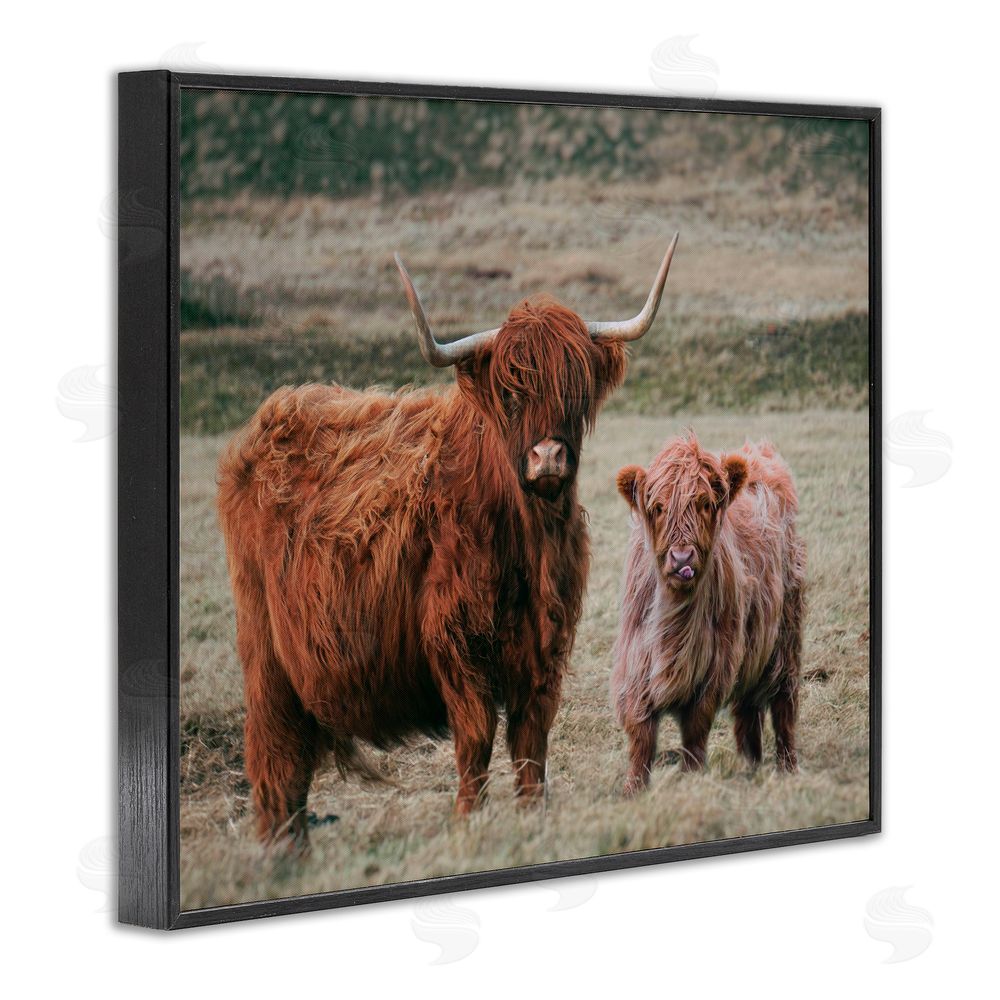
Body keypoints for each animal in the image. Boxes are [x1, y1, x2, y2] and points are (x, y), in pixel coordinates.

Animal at [217, 234, 680, 850]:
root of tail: (271, 418)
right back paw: (282, 851)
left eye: (575, 388)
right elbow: (476, 736)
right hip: (265, 647)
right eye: (510, 392)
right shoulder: (456, 640)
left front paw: (532, 815)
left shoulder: (545, 646)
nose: (548, 457)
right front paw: (467, 820)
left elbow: (531, 741)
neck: (526, 543)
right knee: (274, 754)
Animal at [610, 433, 805, 796]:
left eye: (704, 503)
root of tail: (758, 452)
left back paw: (787, 768)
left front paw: (691, 777)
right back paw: (750, 766)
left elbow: (695, 730)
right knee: (748, 710)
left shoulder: (714, 667)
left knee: (784, 704)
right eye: (658, 508)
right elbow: (641, 736)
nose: (682, 558)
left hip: (786, 634)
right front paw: (633, 789)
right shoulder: (636, 665)